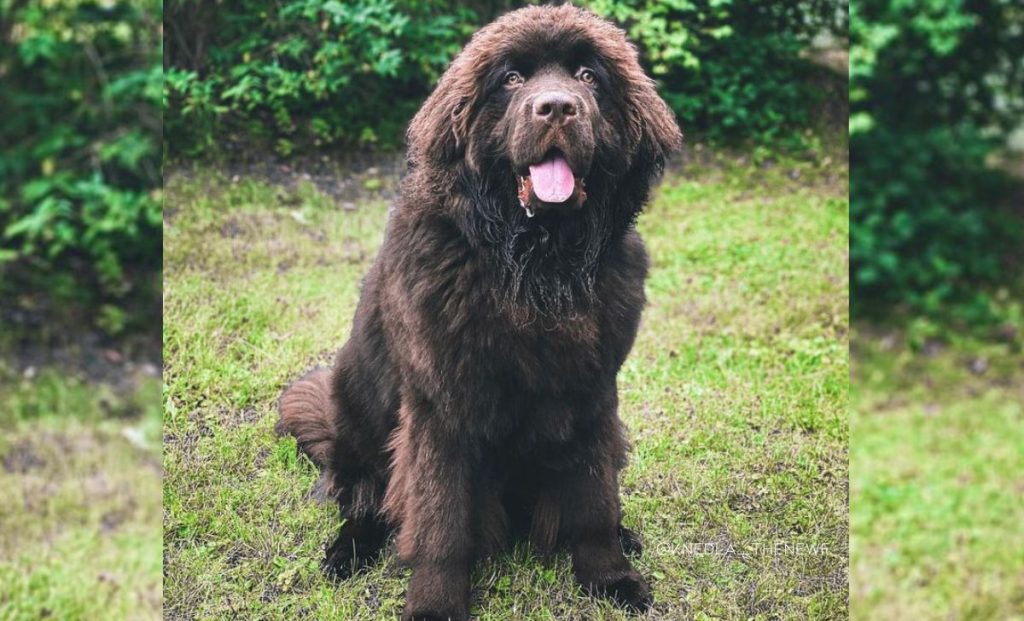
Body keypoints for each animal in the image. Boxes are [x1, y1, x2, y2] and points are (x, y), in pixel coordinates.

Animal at [278, 3, 679, 618]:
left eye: (589, 77)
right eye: (511, 78)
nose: (556, 106)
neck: (536, 267)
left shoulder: (593, 394)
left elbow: (593, 500)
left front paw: (610, 577)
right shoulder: (442, 406)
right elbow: (441, 520)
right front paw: (435, 603)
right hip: (356, 410)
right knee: (366, 498)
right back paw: (347, 551)